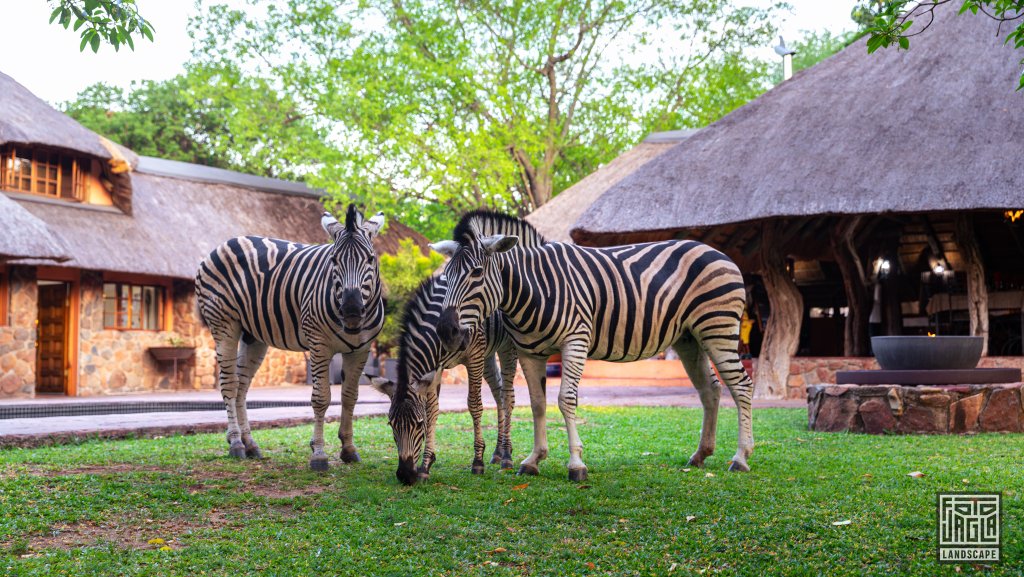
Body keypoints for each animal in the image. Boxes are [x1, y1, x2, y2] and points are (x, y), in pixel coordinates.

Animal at [194, 204, 385, 471]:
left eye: (370, 259)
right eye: (334, 261)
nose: (352, 310)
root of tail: (224, 243)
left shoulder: (361, 350)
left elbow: (350, 398)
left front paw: (348, 449)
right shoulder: (318, 345)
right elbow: (321, 399)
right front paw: (319, 454)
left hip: (253, 336)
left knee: (242, 387)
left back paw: (250, 444)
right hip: (224, 325)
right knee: (229, 385)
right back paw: (236, 443)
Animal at [370, 276, 520, 485]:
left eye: (419, 424)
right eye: (391, 424)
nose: (405, 475)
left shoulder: (473, 355)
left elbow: (474, 405)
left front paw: (477, 461)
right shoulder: (434, 368)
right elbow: (432, 411)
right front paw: (425, 465)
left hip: (507, 347)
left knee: (508, 397)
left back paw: (507, 455)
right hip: (488, 354)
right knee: (498, 394)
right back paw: (498, 452)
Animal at [428, 210, 757, 481]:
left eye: (476, 273)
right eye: (447, 276)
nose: (445, 331)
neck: (535, 288)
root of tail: (719, 253)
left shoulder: (575, 340)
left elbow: (565, 400)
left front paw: (576, 464)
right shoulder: (529, 352)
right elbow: (537, 404)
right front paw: (533, 459)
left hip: (717, 328)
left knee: (741, 385)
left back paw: (740, 457)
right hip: (690, 338)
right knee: (710, 389)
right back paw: (700, 455)